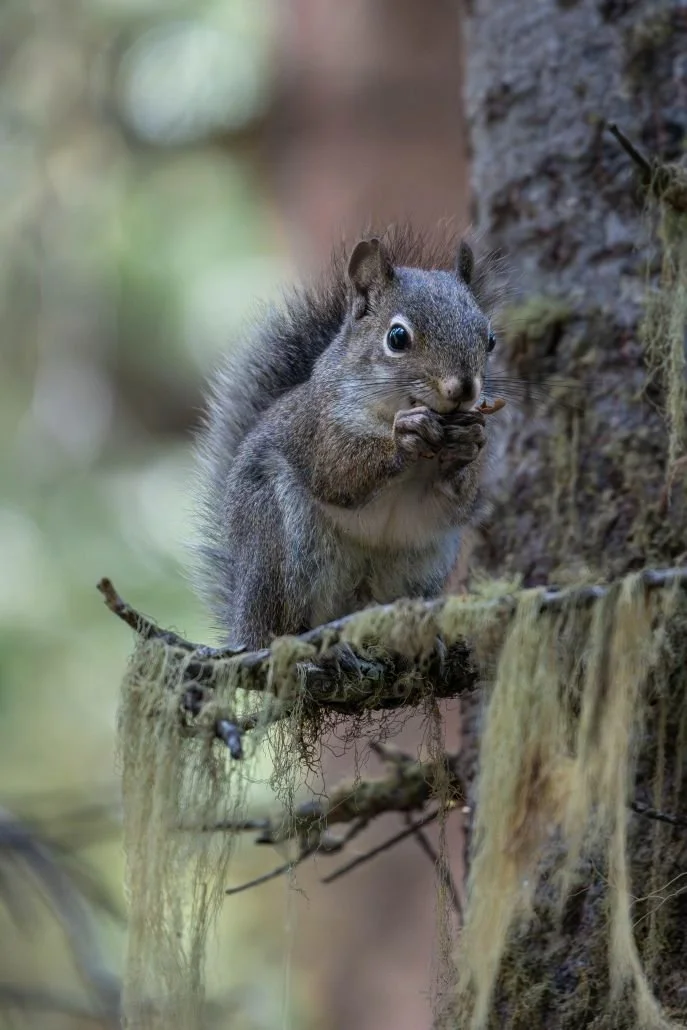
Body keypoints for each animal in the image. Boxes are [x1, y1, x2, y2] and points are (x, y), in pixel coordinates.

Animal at [192, 226, 499, 650]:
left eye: (490, 339)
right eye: (397, 337)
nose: (464, 388)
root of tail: (242, 624)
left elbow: (457, 501)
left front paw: (466, 445)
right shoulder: (318, 427)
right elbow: (339, 472)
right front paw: (405, 436)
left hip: (420, 565)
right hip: (279, 540)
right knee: (284, 617)